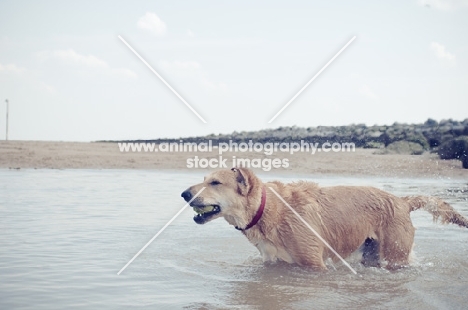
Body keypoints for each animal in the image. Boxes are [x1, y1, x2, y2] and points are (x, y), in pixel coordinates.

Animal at [180, 168, 468, 270]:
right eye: (204, 179)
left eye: (215, 182)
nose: (184, 193)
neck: (270, 210)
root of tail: (402, 201)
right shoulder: (275, 263)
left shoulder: (314, 266)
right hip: (371, 253)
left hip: (395, 256)